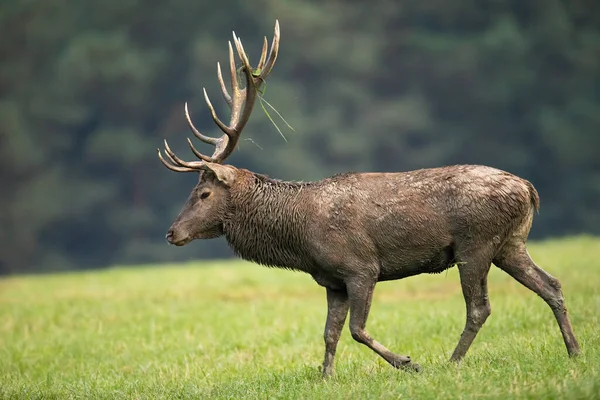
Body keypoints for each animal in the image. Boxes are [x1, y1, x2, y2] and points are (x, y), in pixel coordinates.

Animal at [157, 21, 580, 378]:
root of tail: (529, 189)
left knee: (480, 306)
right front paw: (325, 377)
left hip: (475, 243)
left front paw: (408, 362)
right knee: (551, 285)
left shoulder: (361, 267)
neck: (299, 240)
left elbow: (358, 330)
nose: (172, 233)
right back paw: (574, 351)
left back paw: (452, 362)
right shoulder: (331, 280)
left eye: (203, 193)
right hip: (510, 242)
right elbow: (330, 333)